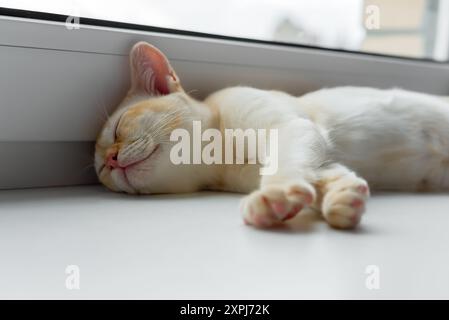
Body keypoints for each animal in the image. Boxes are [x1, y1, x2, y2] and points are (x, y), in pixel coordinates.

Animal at [94, 41, 448, 229]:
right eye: (101, 172)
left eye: (118, 127)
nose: (110, 160)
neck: (222, 158)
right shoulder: (320, 161)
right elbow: (327, 179)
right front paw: (345, 200)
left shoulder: (289, 128)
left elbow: (283, 168)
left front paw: (275, 196)